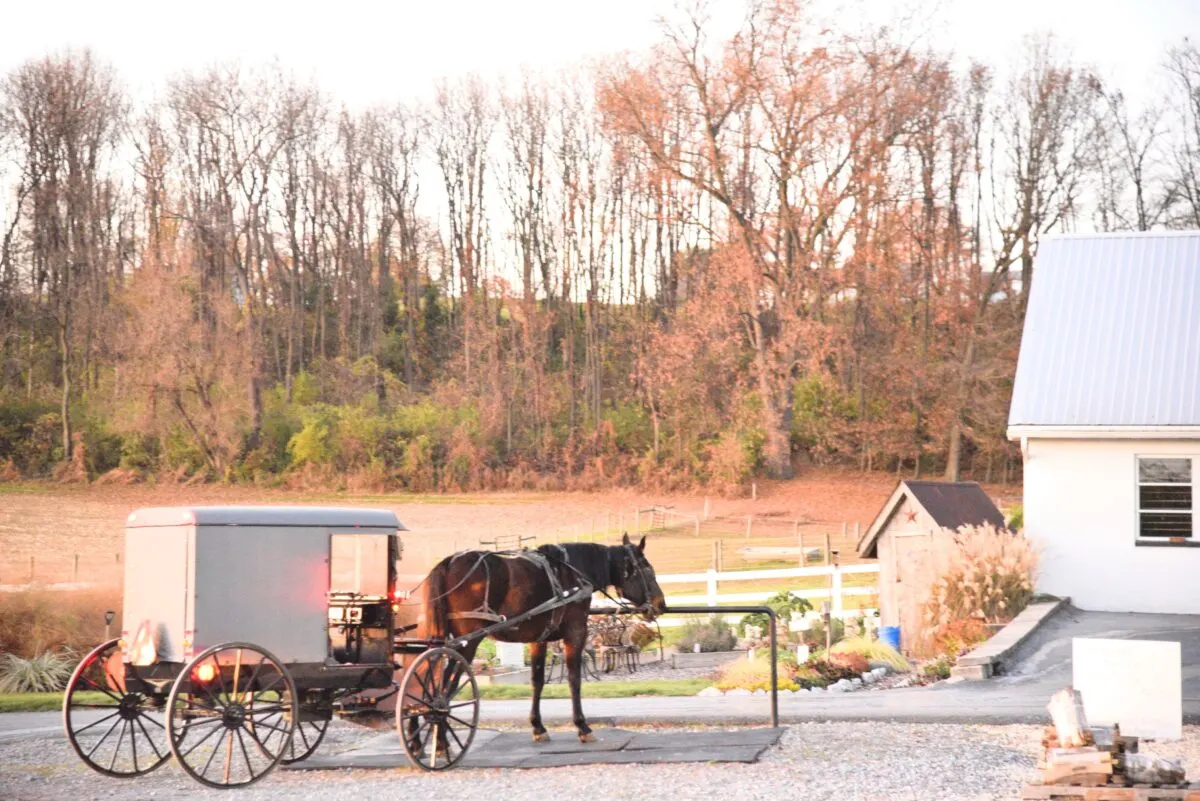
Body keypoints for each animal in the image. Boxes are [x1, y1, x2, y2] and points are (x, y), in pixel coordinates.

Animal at [422, 532, 667, 743]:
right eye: (648, 570)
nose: (661, 604)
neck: (572, 574)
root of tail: (450, 562)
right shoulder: (576, 633)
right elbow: (574, 679)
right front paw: (582, 726)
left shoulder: (538, 639)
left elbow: (537, 681)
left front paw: (538, 726)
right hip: (467, 642)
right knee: (446, 684)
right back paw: (439, 733)